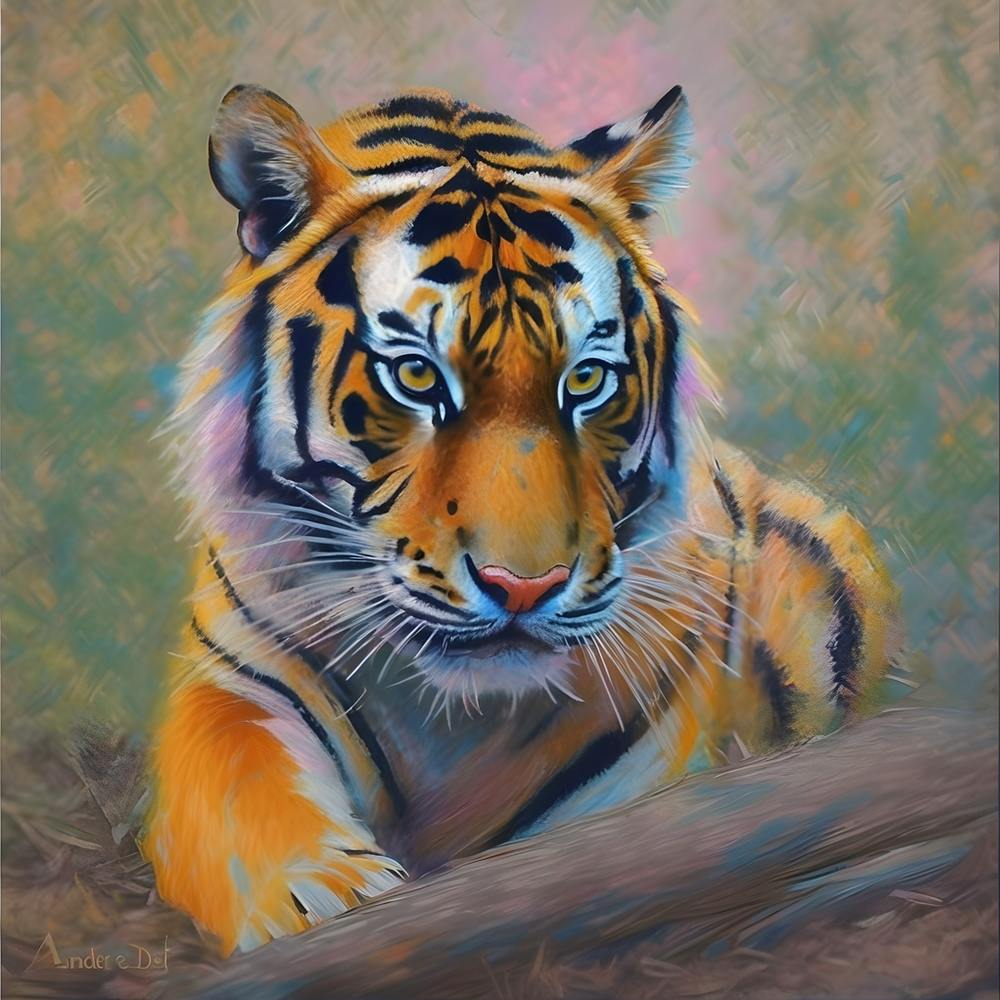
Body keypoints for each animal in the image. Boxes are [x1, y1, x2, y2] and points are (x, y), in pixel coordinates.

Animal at [142, 83, 901, 955]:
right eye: (415, 375)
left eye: (587, 380)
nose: (524, 587)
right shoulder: (232, 681)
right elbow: (240, 783)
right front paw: (328, 894)